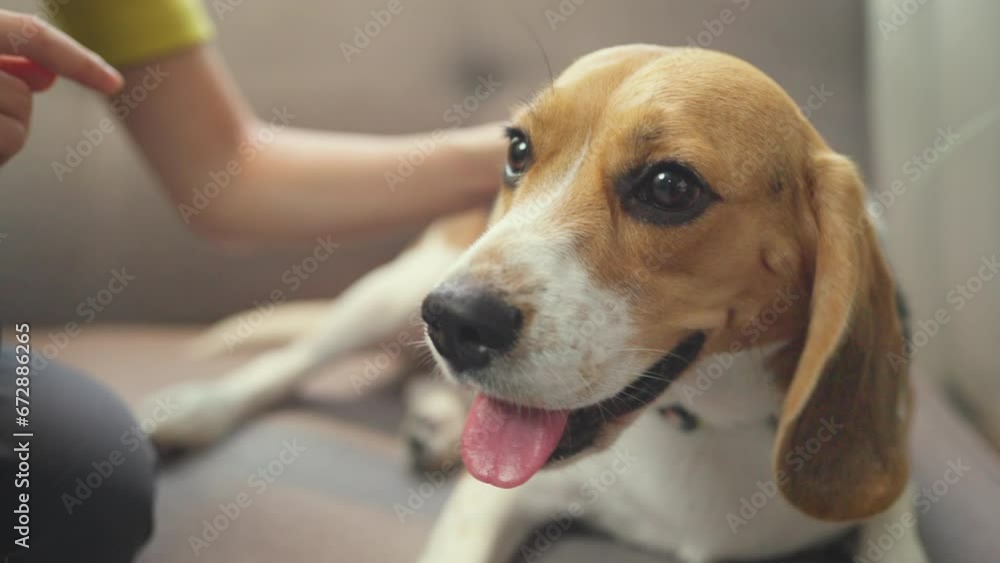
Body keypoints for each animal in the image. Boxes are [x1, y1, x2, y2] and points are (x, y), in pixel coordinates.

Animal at [146, 46, 928, 560]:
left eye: (671, 186)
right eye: (518, 150)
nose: (454, 322)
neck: (698, 424)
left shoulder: (891, 501)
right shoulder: (493, 499)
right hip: (395, 287)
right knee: (291, 360)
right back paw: (197, 409)